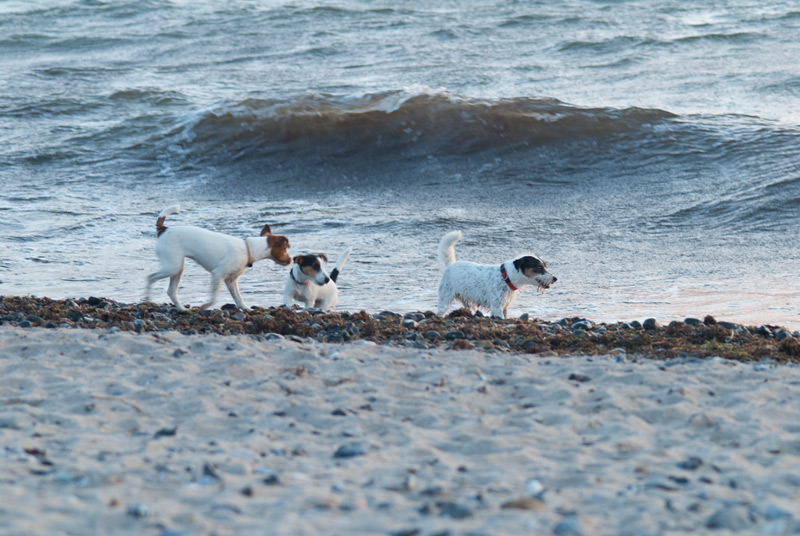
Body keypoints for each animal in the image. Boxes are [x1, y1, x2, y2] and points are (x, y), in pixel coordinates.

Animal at [145, 206, 292, 314]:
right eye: (285, 249)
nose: (291, 260)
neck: (249, 248)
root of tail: (164, 229)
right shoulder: (218, 274)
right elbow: (214, 297)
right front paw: (205, 306)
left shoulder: (231, 280)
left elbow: (238, 297)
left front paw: (245, 308)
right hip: (172, 266)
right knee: (150, 277)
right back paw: (147, 299)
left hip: (178, 268)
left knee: (171, 291)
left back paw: (181, 309)